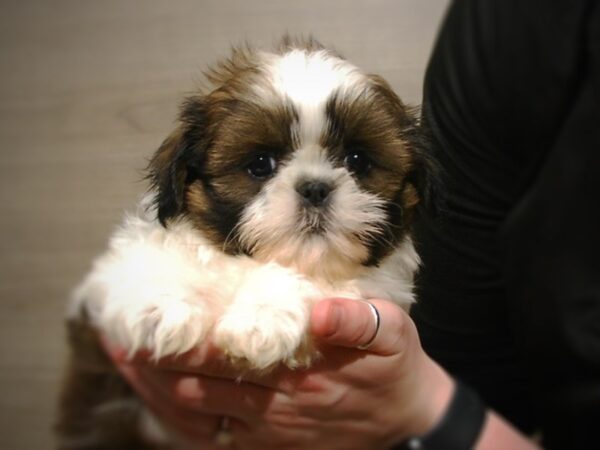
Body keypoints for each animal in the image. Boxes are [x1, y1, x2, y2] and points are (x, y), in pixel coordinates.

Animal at [55, 37, 436, 448]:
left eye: (357, 160)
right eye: (260, 164)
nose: (315, 188)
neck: (243, 263)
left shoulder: (381, 286)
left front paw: (261, 318)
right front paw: (159, 309)